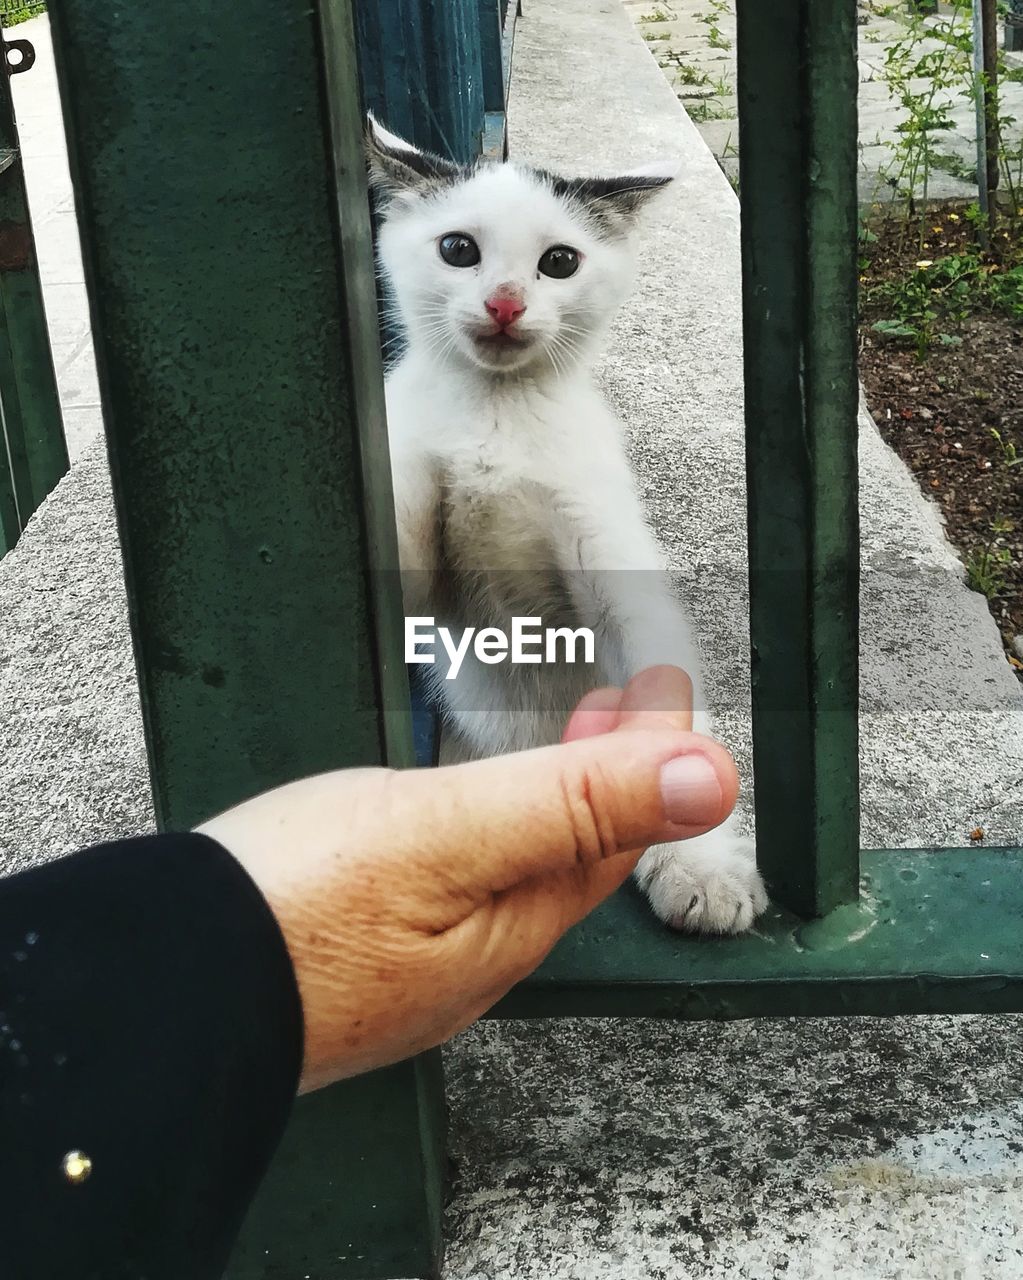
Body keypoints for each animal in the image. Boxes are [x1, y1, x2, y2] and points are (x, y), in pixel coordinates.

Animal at [368, 120, 768, 936]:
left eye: (559, 262)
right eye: (457, 248)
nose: (504, 303)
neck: (495, 413)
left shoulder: (606, 551)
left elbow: (655, 698)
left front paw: (698, 862)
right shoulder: (425, 583)